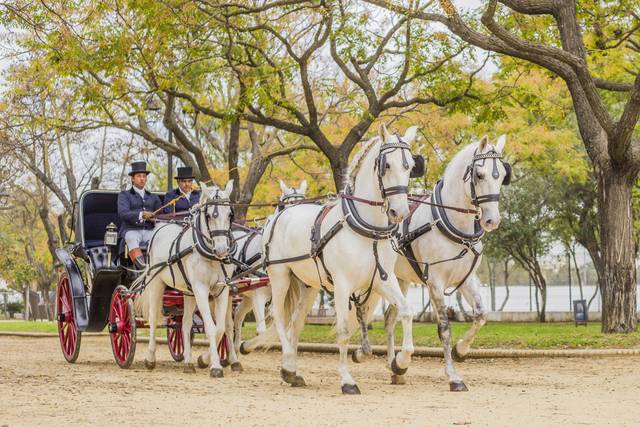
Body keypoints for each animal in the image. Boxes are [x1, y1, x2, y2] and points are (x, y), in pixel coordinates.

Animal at [134, 181, 236, 378]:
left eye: (230, 214)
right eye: (210, 215)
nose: (222, 250)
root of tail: (160, 227)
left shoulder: (221, 289)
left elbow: (220, 328)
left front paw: (204, 360)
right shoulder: (201, 288)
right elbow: (211, 327)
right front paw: (215, 366)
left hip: (188, 292)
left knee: (185, 324)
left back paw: (188, 363)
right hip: (156, 283)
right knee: (152, 318)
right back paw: (150, 358)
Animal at [255, 124, 420, 394]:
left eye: (410, 166)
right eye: (386, 165)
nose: (400, 212)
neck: (367, 230)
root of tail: (279, 214)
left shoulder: (383, 280)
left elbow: (406, 311)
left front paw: (401, 363)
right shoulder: (343, 285)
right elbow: (342, 329)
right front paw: (347, 379)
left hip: (308, 285)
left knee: (296, 322)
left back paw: (292, 371)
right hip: (280, 276)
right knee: (278, 315)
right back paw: (288, 363)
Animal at [356, 135, 510, 392]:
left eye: (502, 176)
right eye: (479, 175)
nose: (492, 220)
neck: (452, 221)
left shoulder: (467, 279)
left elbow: (481, 315)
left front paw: (461, 350)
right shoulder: (435, 282)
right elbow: (444, 328)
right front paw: (453, 376)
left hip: (399, 279)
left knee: (389, 319)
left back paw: (394, 366)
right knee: (361, 310)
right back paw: (362, 352)